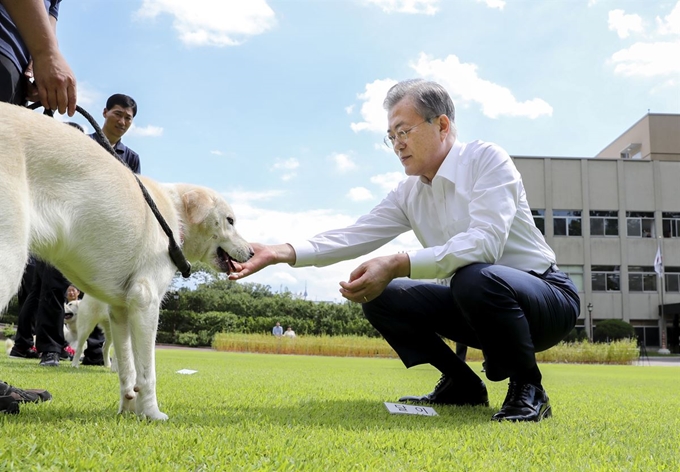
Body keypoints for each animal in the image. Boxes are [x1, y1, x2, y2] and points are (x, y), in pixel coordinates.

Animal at [0, 101, 254, 418]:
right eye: (230, 220)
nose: (252, 252)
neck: (174, 217)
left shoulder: (121, 310)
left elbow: (127, 369)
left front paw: (127, 409)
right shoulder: (145, 302)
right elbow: (146, 372)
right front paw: (152, 413)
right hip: (11, 263)